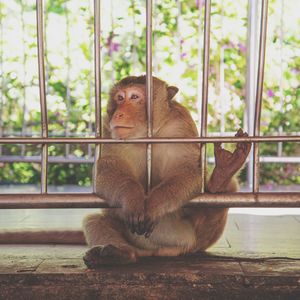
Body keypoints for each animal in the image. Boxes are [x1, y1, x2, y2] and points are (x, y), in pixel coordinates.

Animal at [0, 76, 251, 268]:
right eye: (119, 98)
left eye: (135, 97)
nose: (118, 114)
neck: (147, 136)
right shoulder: (106, 128)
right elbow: (105, 169)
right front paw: (133, 198)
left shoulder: (180, 126)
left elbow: (190, 171)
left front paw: (155, 203)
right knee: (95, 220)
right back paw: (119, 254)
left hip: (200, 236)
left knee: (222, 194)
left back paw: (221, 177)